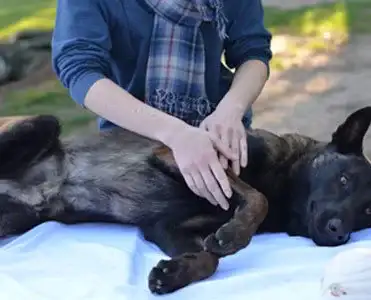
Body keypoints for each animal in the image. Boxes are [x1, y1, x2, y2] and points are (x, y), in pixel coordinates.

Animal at [0, 106, 371, 294]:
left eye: (366, 211)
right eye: (343, 180)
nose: (341, 234)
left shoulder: (166, 228)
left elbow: (210, 259)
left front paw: (174, 273)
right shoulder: (182, 157)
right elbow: (257, 196)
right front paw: (235, 235)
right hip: (41, 124)